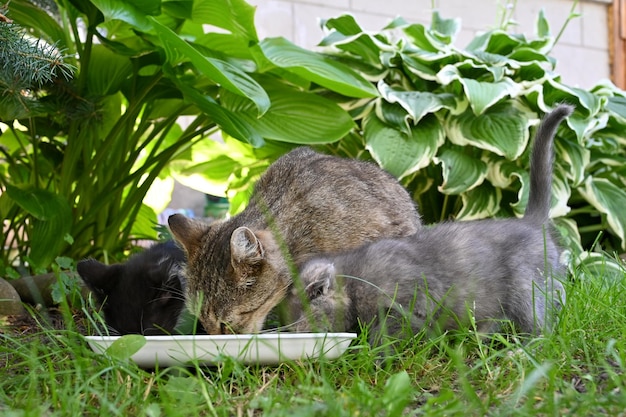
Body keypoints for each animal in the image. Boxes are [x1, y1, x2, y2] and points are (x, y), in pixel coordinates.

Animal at [288, 105, 572, 342]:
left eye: (301, 319)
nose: (293, 334)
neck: (356, 279)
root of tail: (532, 223)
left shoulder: (412, 302)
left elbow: (387, 334)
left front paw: (373, 352)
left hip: (524, 286)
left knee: (538, 322)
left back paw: (524, 348)